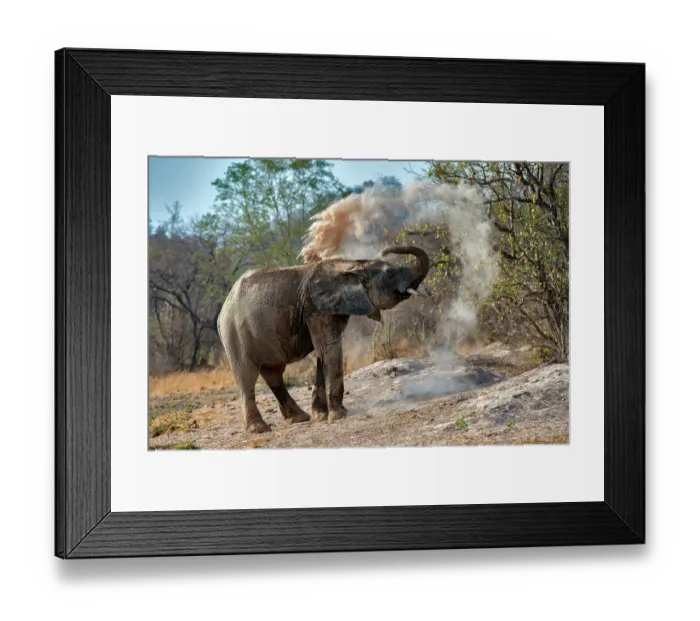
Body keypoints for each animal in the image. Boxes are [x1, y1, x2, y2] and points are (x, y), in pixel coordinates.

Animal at [217, 246, 431, 433]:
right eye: (390, 274)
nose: (386, 250)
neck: (354, 264)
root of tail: (223, 307)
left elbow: (323, 354)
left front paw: (321, 416)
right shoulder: (316, 309)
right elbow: (329, 349)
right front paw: (340, 416)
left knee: (273, 373)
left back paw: (300, 418)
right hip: (234, 333)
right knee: (247, 375)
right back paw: (259, 429)